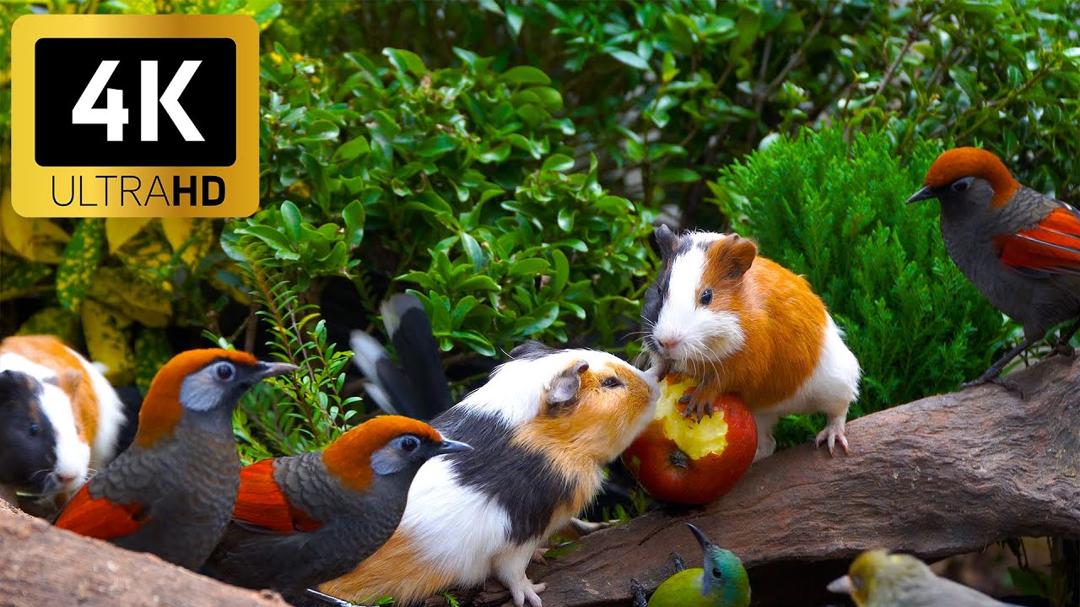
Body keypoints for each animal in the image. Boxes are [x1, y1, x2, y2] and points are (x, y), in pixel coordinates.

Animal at [642, 226, 861, 460]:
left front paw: (696, 404)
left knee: (839, 412)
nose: (667, 341)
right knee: (768, 445)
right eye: (660, 290)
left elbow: (717, 382)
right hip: (762, 418)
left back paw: (831, 442)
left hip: (837, 384)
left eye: (707, 296)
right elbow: (660, 366)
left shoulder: (745, 364)